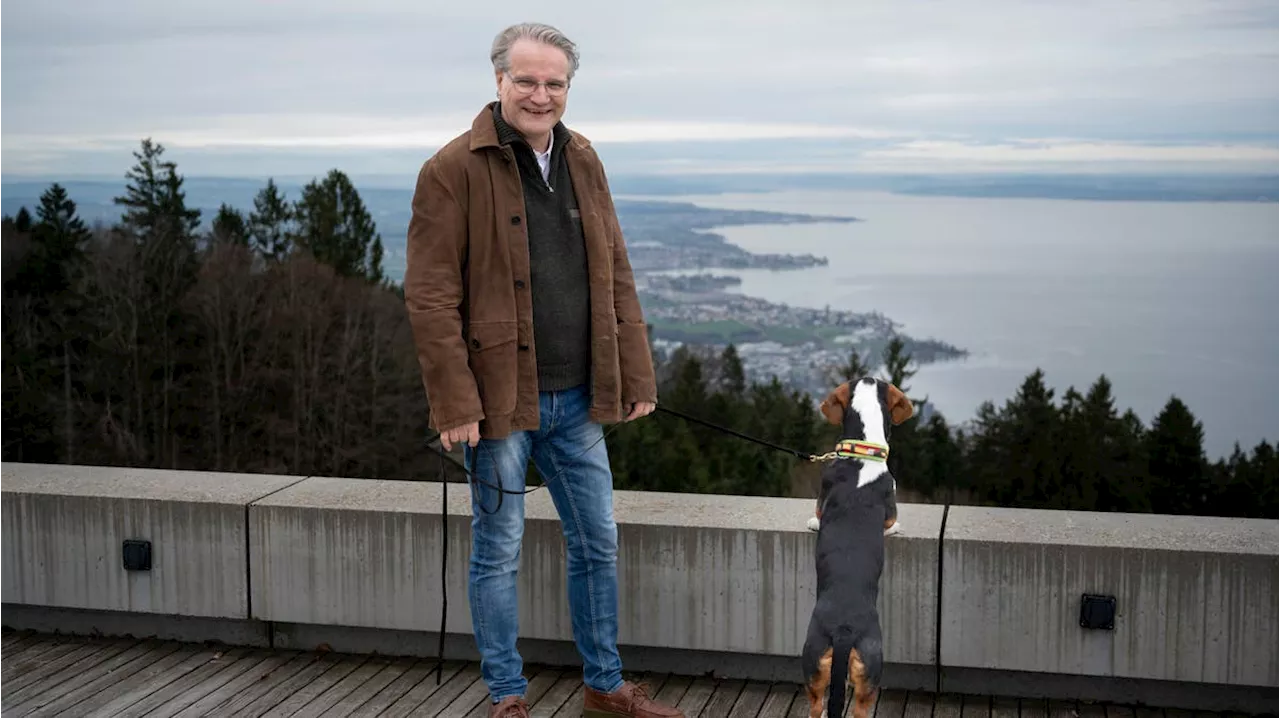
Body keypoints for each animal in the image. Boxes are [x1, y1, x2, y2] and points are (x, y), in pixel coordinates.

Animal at [798, 376, 911, 716]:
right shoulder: (890, 508)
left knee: (818, 705)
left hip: (818, 665)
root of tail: (843, 629)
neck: (862, 453)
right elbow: (892, 522)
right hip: (870, 672)